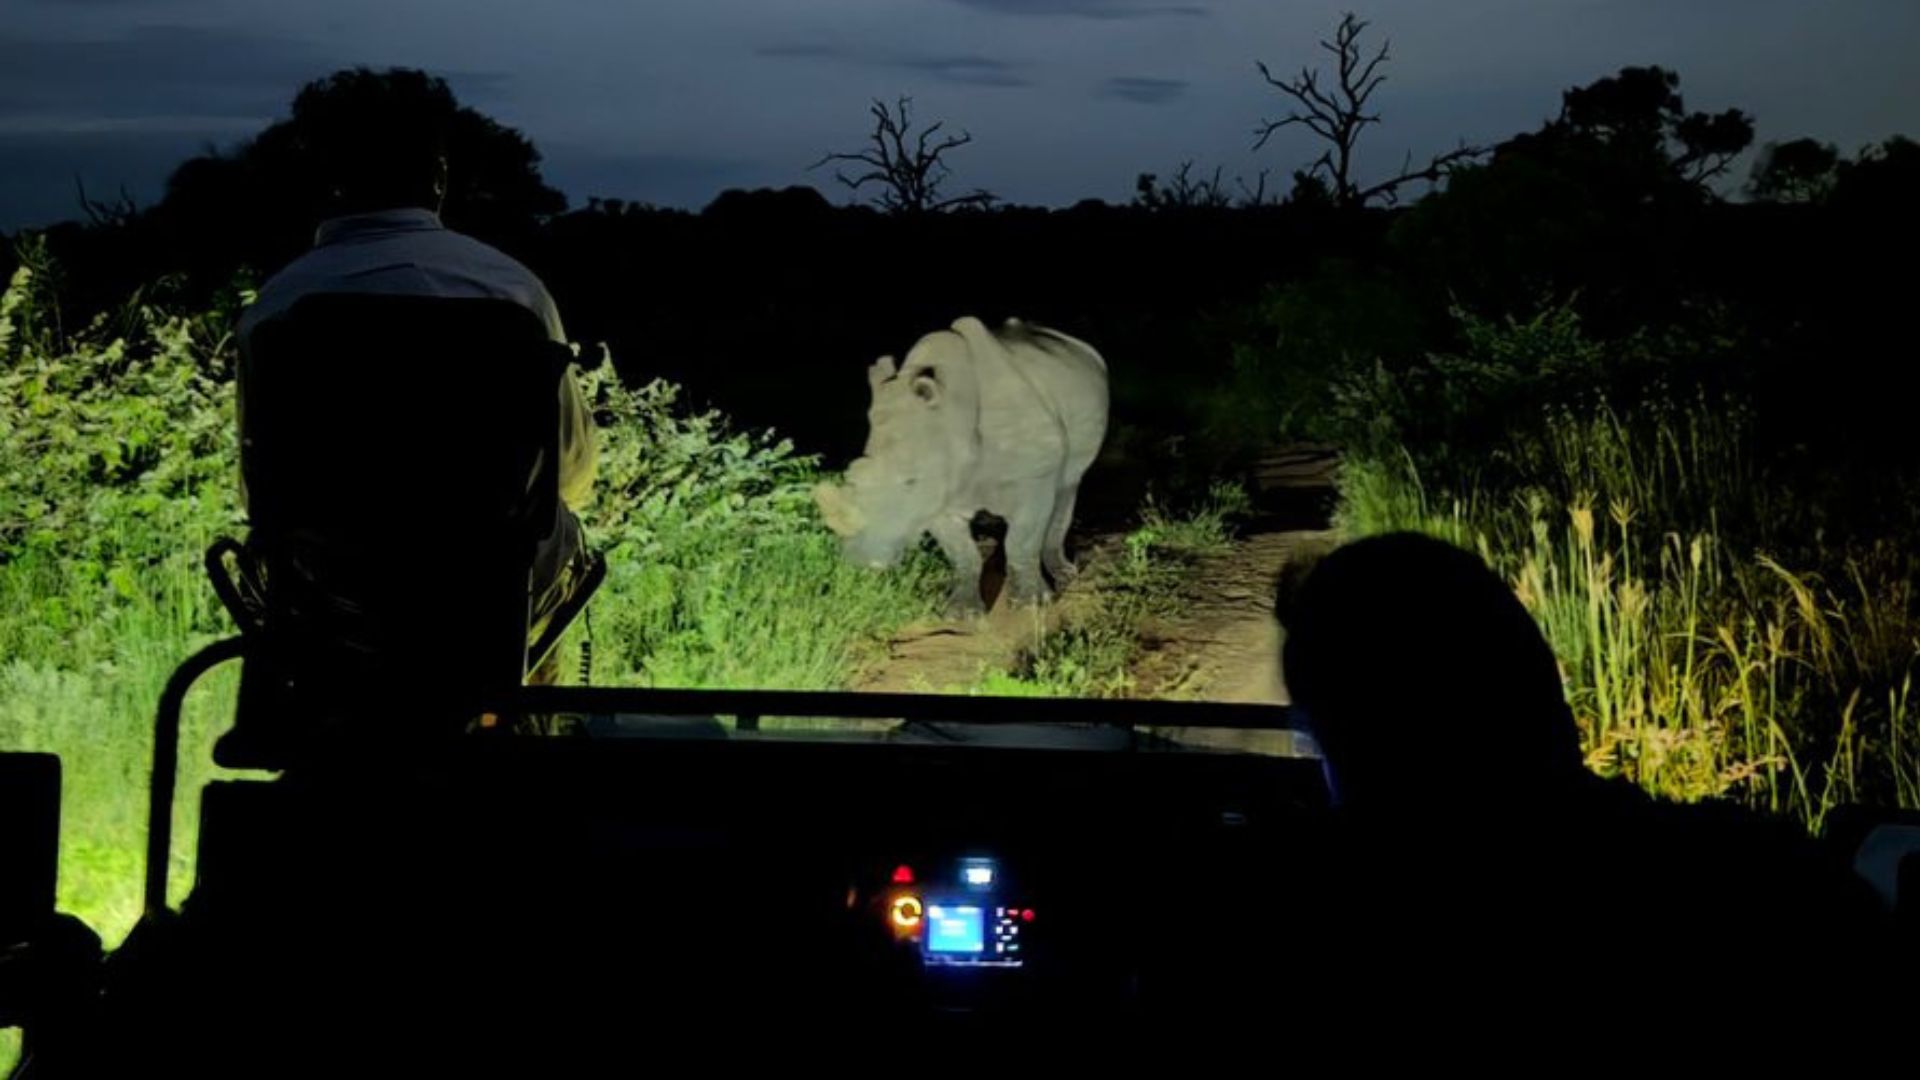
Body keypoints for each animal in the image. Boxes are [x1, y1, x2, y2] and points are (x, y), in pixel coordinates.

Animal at [813, 316, 1109, 616]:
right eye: (852, 476)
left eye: (910, 481)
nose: (860, 561)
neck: (952, 417)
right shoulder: (936, 491)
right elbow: (963, 554)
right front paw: (961, 613)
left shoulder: (1034, 477)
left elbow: (1021, 543)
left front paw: (1032, 605)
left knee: (1068, 485)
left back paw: (1066, 575)